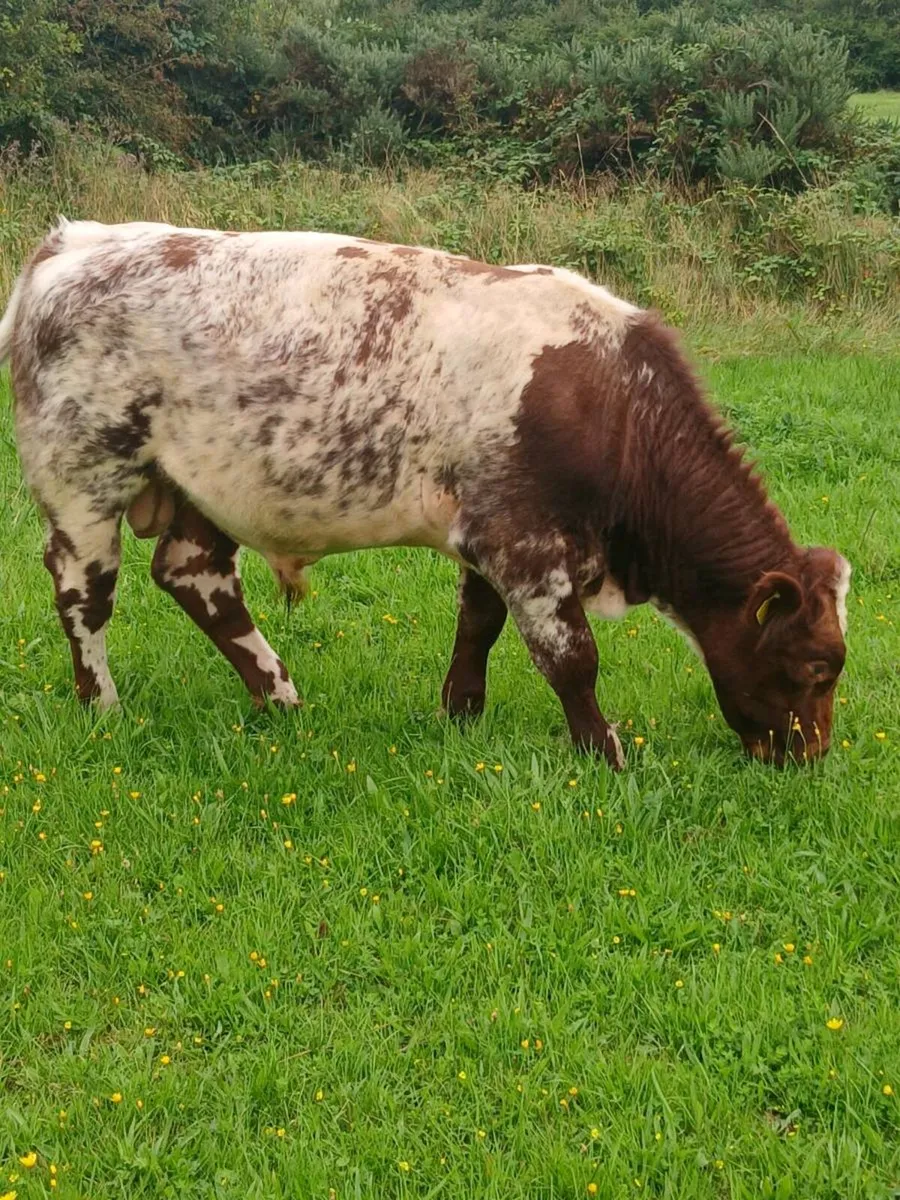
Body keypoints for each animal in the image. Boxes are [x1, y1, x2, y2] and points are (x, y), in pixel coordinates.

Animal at [0, 219, 850, 768]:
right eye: (816, 666)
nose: (809, 756)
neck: (614, 406)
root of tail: (74, 239)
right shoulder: (526, 543)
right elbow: (570, 656)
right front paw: (604, 753)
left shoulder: (491, 529)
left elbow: (477, 626)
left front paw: (460, 714)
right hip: (84, 481)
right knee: (85, 595)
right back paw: (103, 706)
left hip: (201, 487)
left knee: (196, 578)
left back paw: (281, 698)